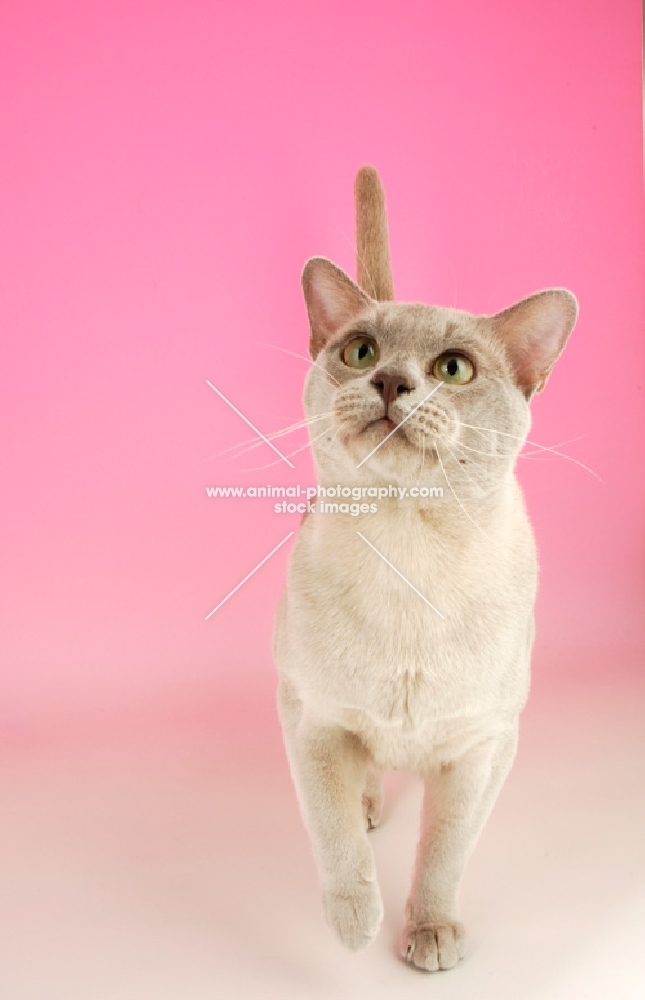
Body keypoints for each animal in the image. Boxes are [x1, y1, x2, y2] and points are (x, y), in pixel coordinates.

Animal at [272, 168, 580, 972]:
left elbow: (444, 853)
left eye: (452, 369)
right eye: (359, 352)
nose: (389, 380)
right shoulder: (314, 720)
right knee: (356, 786)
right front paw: (355, 927)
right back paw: (368, 804)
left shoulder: (481, 746)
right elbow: (335, 839)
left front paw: (429, 936)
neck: (406, 553)